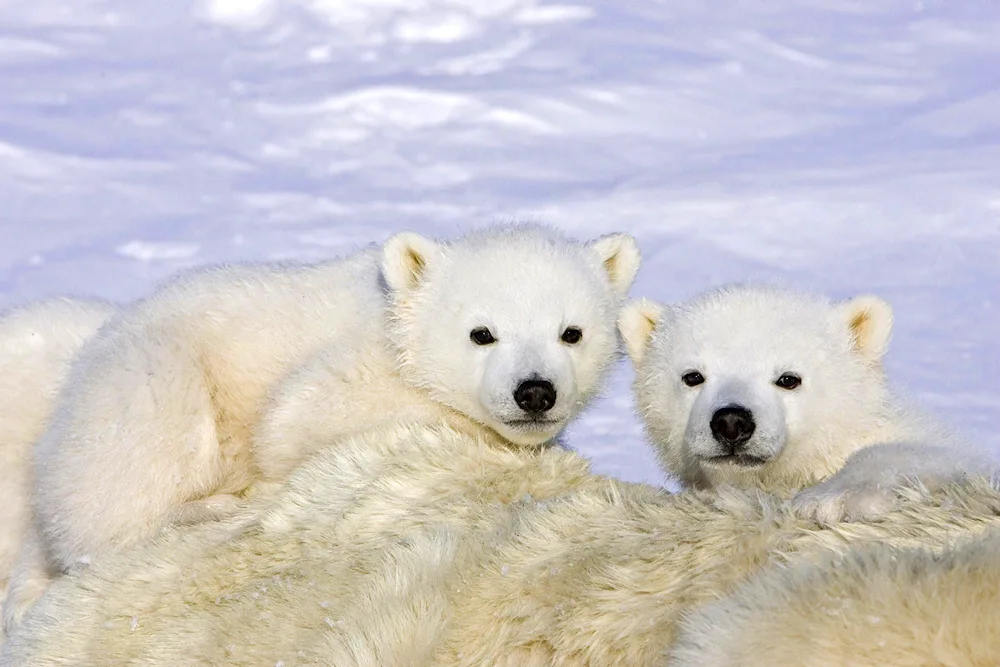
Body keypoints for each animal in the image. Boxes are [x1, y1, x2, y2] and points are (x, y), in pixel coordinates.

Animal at [1, 223, 640, 632]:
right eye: (481, 333)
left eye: (572, 332)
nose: (535, 392)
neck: (396, 318)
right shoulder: (352, 367)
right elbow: (302, 418)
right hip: (146, 374)